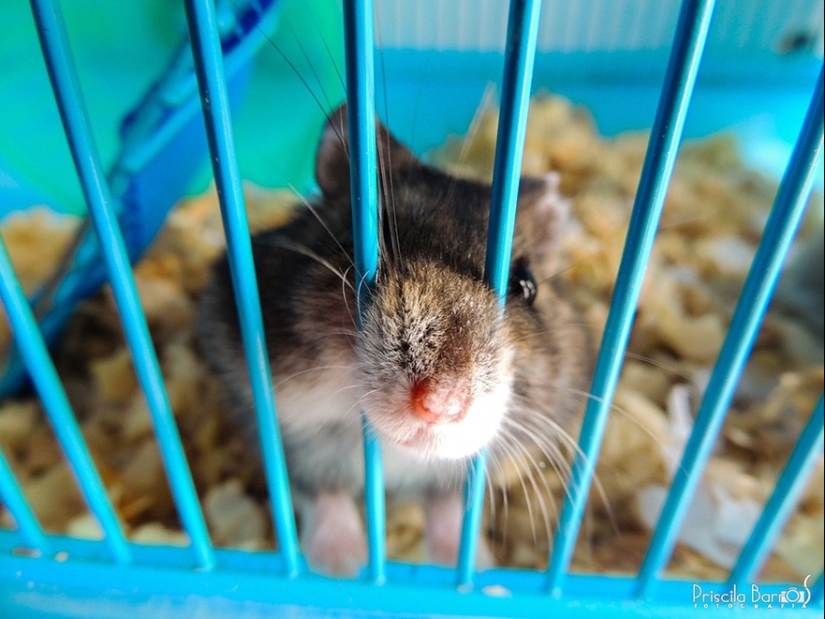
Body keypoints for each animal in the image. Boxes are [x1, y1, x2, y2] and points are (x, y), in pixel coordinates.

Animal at [197, 105, 591, 575]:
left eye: (526, 285)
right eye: (360, 251)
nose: (440, 405)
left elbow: (449, 509)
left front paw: (474, 571)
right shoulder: (287, 431)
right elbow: (322, 492)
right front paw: (342, 566)